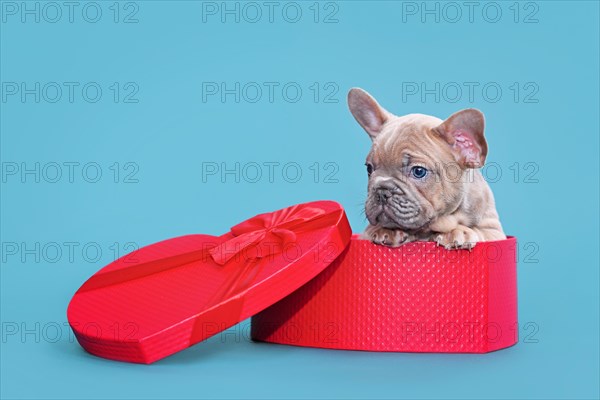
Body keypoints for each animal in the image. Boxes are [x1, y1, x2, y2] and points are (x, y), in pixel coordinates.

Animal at [346, 89, 506, 248]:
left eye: (419, 171)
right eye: (369, 168)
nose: (381, 191)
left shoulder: (494, 230)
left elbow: (480, 231)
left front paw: (457, 232)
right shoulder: (365, 234)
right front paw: (387, 230)